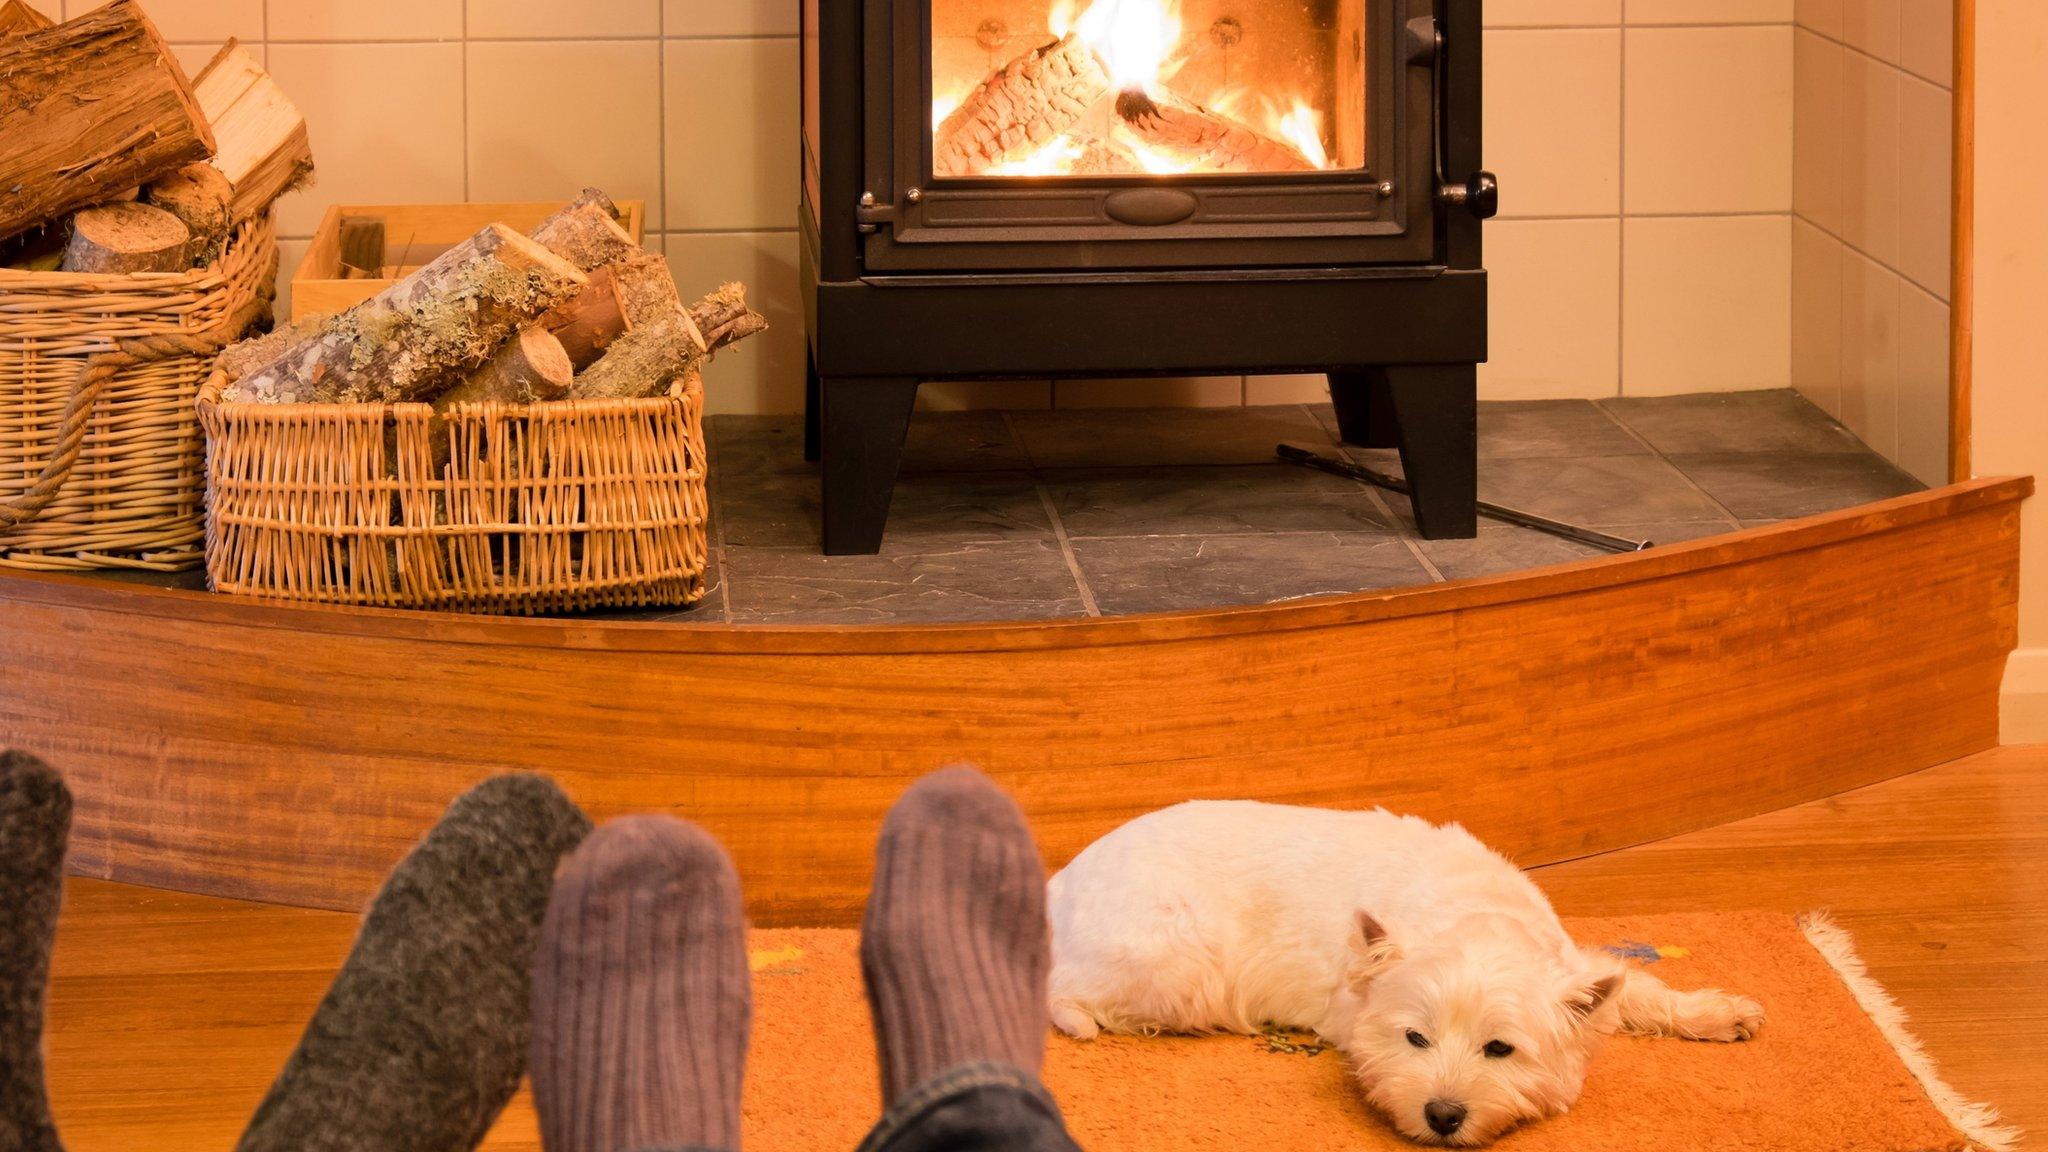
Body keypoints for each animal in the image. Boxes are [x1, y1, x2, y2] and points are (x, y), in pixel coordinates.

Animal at [1048, 799, 1769, 1139]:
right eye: (1415, 1038)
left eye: (1499, 1048)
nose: (1443, 1115)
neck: (1475, 914)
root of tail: (1059, 882)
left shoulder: (1577, 967)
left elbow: (1637, 987)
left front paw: (1724, 1013)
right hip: (1177, 958)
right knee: (1071, 996)